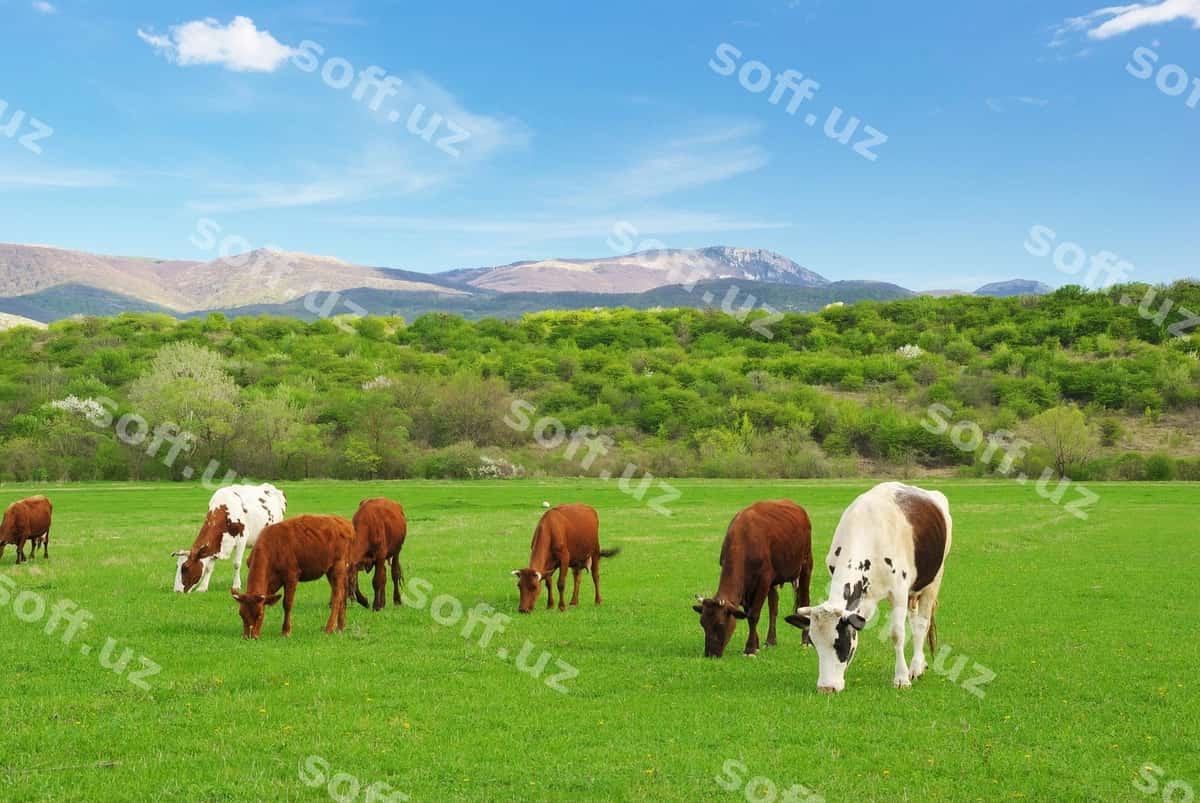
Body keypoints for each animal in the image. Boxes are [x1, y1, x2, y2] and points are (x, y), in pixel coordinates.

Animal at [692, 500, 814, 658]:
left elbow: (753, 615)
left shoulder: (764, 579)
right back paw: (770, 641)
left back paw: (806, 641)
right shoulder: (747, 588)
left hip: (806, 564)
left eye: (720, 624)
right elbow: (749, 611)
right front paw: (755, 644)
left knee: (804, 601)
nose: (710, 654)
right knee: (773, 607)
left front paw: (750, 649)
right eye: (703, 624)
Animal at [785, 482, 952, 693]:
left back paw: (915, 668)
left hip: (934, 579)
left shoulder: (899, 591)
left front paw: (901, 678)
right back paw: (920, 664)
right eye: (814, 644)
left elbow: (897, 634)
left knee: (922, 624)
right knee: (915, 621)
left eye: (840, 644)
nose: (826, 688)